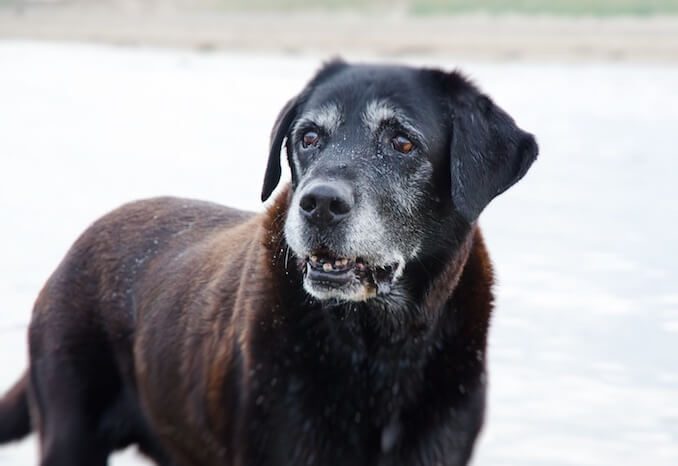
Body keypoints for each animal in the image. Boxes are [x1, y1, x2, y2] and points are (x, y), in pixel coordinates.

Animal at [1, 59, 540, 466]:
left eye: (402, 143)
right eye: (309, 137)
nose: (319, 203)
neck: (378, 346)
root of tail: (76, 248)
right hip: (70, 432)